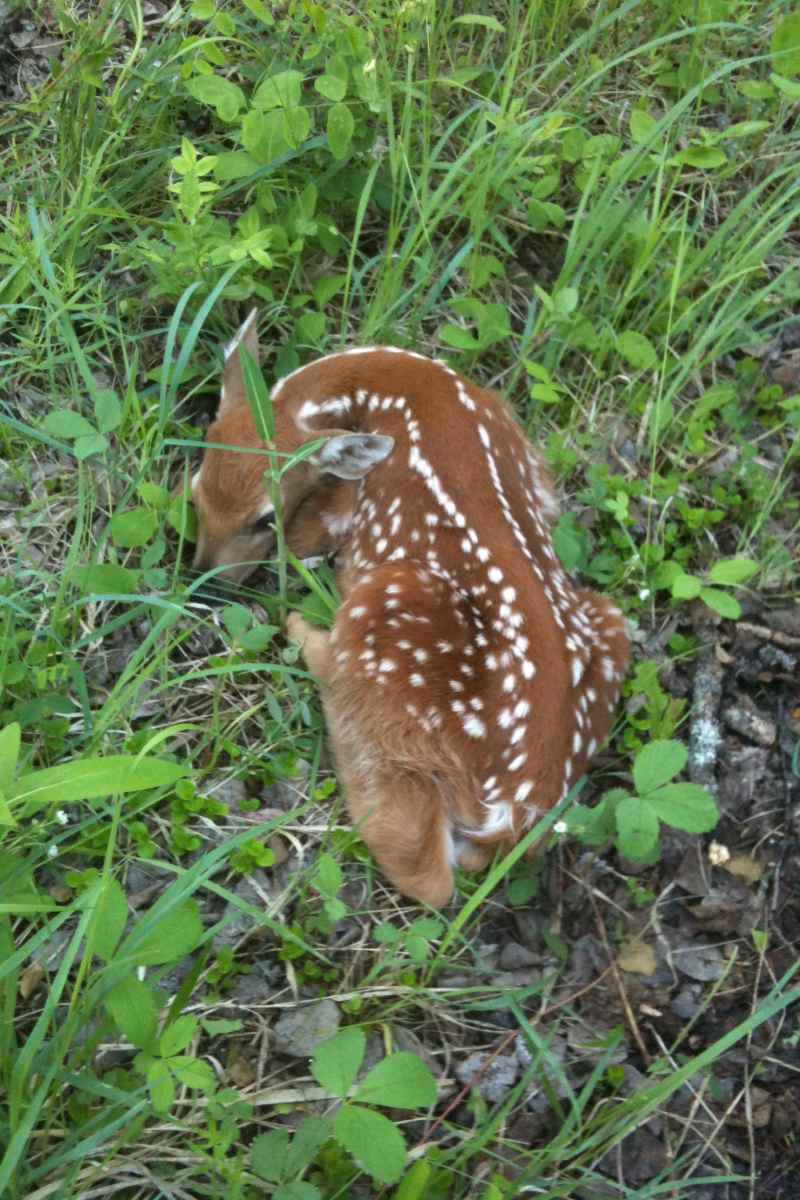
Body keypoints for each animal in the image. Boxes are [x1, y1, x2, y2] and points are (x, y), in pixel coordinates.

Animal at [191, 310, 630, 907]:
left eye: (264, 518)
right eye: (194, 494)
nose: (205, 588)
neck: (406, 384)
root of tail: (510, 810)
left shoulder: (340, 509)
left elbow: (305, 543)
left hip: (391, 604)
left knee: (426, 873)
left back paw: (304, 633)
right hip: (609, 620)